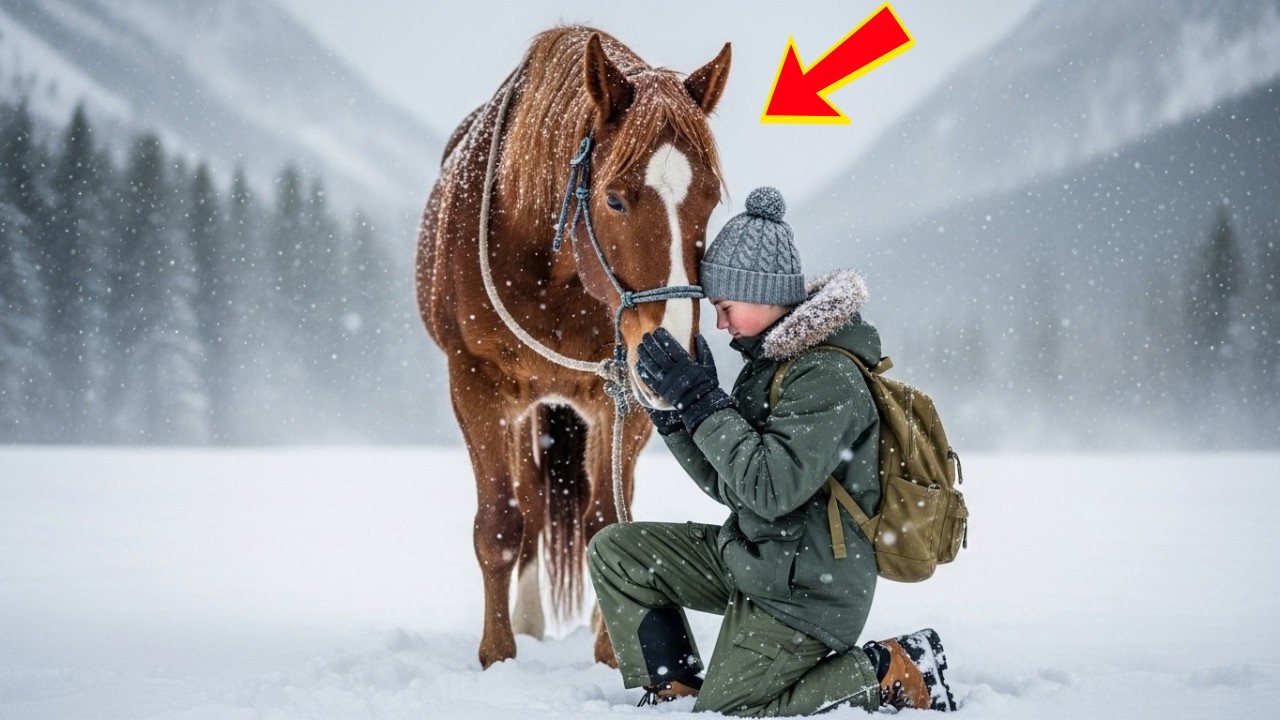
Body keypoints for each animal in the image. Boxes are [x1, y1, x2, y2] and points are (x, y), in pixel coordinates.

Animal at [415, 26, 731, 669]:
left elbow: (608, 519)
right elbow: (499, 525)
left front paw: (617, 653)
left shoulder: (622, 390)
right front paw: (498, 657)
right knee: (531, 505)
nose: (676, 350)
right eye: (614, 199)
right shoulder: (475, 383)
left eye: (710, 199)